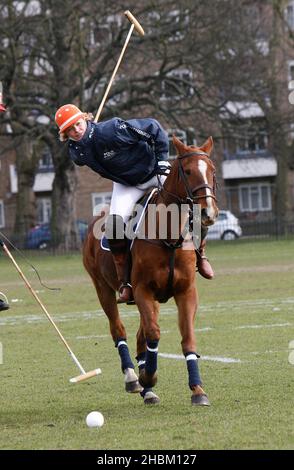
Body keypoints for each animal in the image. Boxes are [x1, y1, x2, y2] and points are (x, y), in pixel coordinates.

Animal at [82, 135, 218, 404]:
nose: (208, 212)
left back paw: (147, 389)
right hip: (103, 288)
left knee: (139, 335)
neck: (169, 236)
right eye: (188, 171)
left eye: (212, 170)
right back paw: (134, 378)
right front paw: (148, 376)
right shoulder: (142, 290)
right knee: (119, 330)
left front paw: (198, 390)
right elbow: (154, 334)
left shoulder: (186, 292)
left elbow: (187, 338)